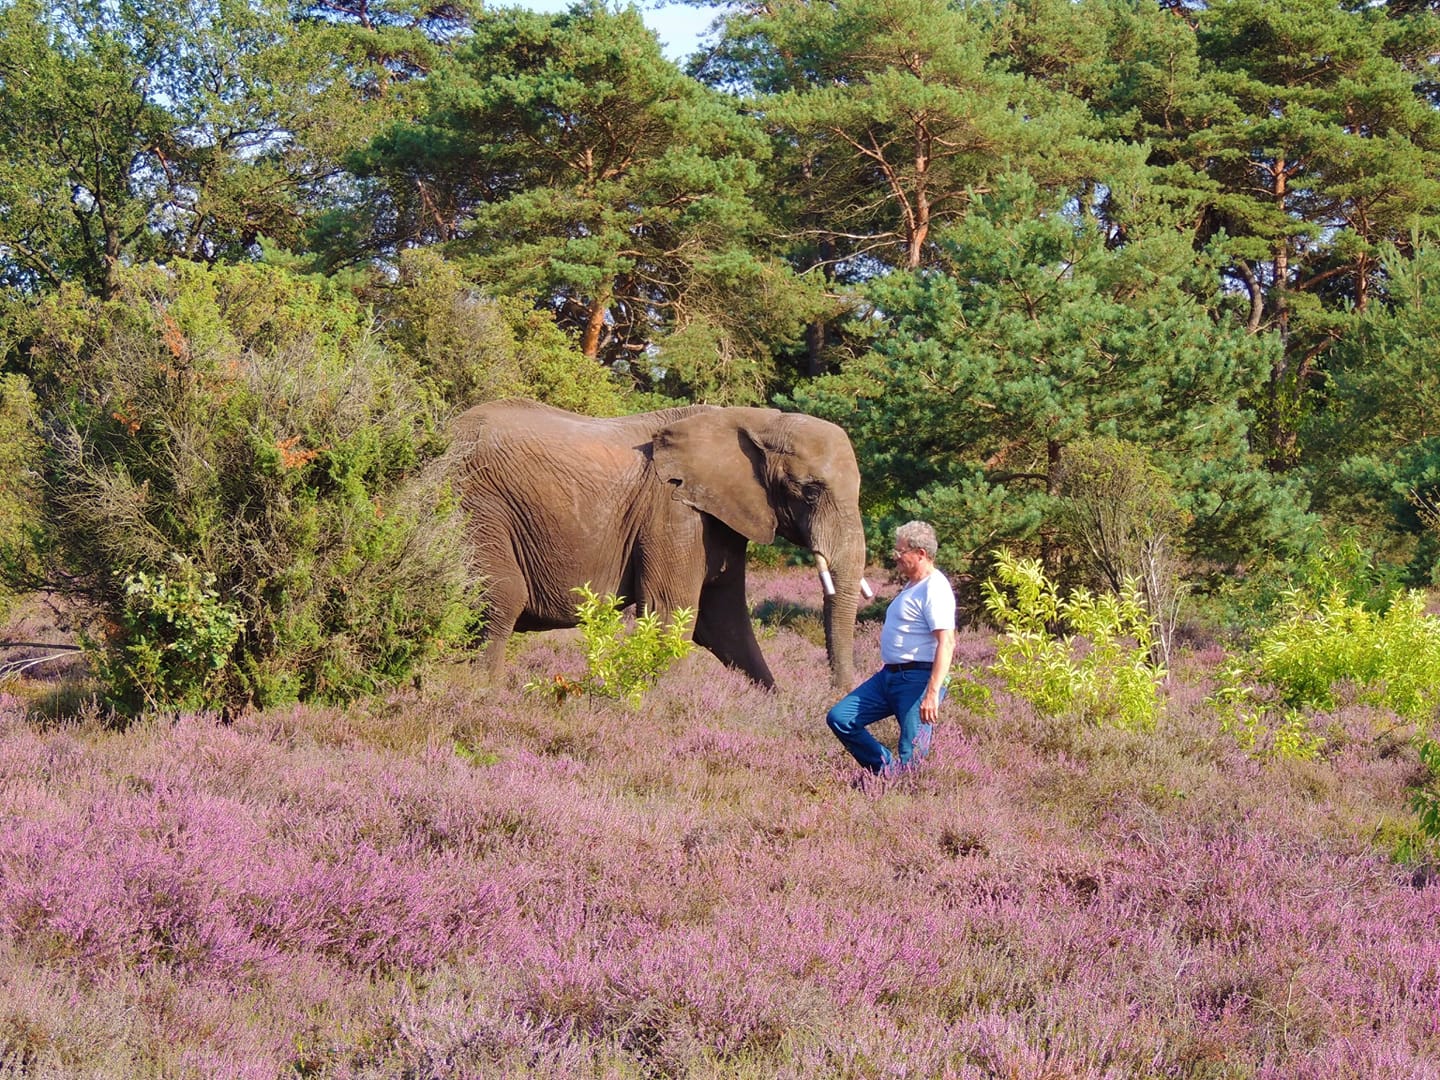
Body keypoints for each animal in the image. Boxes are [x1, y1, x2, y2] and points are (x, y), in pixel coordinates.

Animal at [455, 400, 869, 694]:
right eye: (809, 491)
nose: (836, 694)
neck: (754, 420)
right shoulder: (672, 511)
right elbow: (671, 610)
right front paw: (667, 708)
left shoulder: (719, 518)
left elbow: (724, 620)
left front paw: (774, 703)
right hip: (477, 504)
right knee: (502, 597)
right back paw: (481, 696)